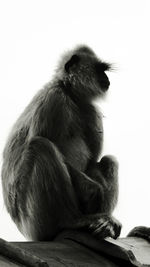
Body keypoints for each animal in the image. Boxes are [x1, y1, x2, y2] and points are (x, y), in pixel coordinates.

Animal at [0, 45, 122, 242]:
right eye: (99, 69)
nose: (107, 79)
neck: (70, 95)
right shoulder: (54, 98)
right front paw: (93, 191)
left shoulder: (91, 111)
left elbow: (92, 163)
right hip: (33, 220)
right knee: (40, 145)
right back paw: (70, 221)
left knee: (109, 160)